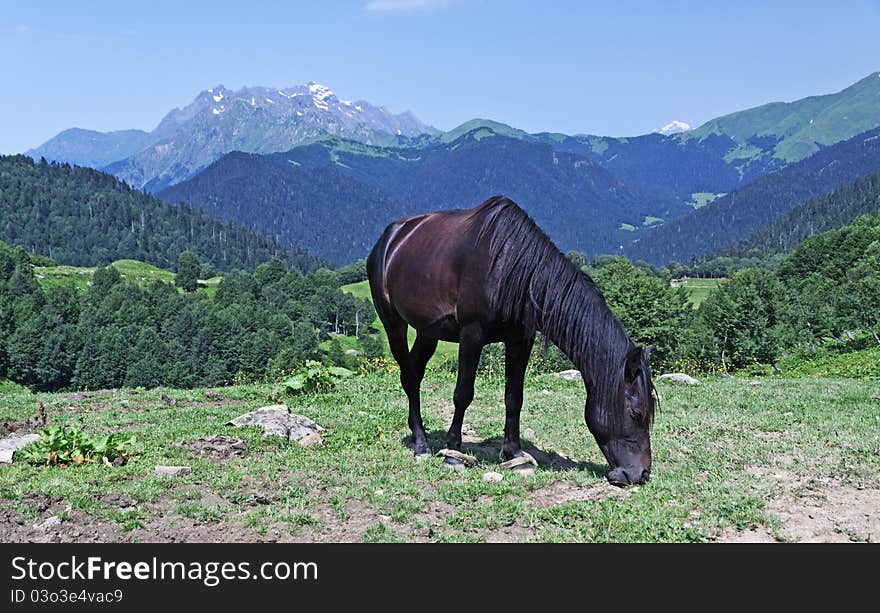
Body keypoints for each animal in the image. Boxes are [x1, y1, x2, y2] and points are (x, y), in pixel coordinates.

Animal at [364, 195, 652, 482]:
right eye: (635, 413)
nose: (641, 473)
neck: (512, 268)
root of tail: (388, 239)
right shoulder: (471, 335)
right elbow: (463, 394)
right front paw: (453, 455)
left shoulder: (520, 340)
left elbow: (514, 397)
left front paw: (515, 456)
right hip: (393, 323)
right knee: (408, 376)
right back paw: (421, 444)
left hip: (427, 331)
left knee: (415, 372)